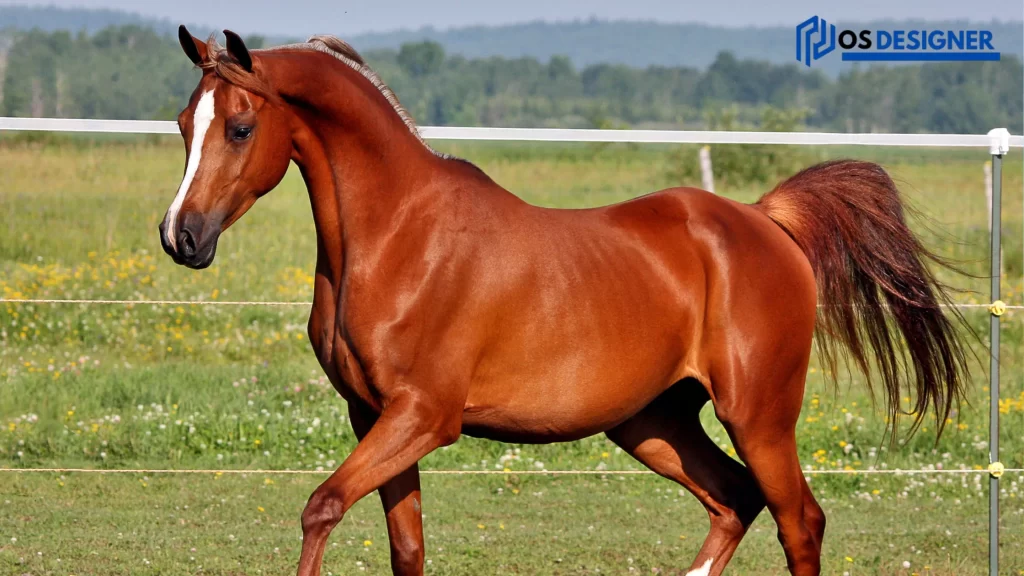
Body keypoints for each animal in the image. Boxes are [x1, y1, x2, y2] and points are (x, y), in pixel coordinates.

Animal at [161, 26, 966, 573]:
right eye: (182, 125)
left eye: (241, 127)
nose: (181, 236)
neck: (397, 236)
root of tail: (765, 221)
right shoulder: (374, 416)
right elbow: (406, 548)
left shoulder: (423, 418)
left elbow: (321, 507)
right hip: (653, 422)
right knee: (735, 500)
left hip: (758, 416)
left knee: (799, 520)